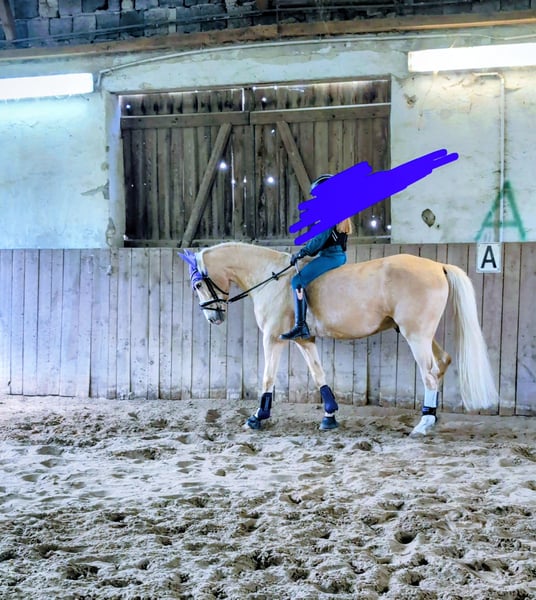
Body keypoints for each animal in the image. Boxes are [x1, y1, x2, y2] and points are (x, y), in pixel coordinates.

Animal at [179, 242, 498, 436]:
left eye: (197, 284)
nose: (213, 318)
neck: (270, 278)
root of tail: (437, 266)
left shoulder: (273, 338)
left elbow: (268, 377)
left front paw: (257, 416)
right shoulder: (304, 340)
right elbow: (318, 373)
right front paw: (329, 416)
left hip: (416, 336)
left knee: (430, 374)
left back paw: (422, 424)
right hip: (421, 334)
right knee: (443, 362)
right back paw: (432, 418)